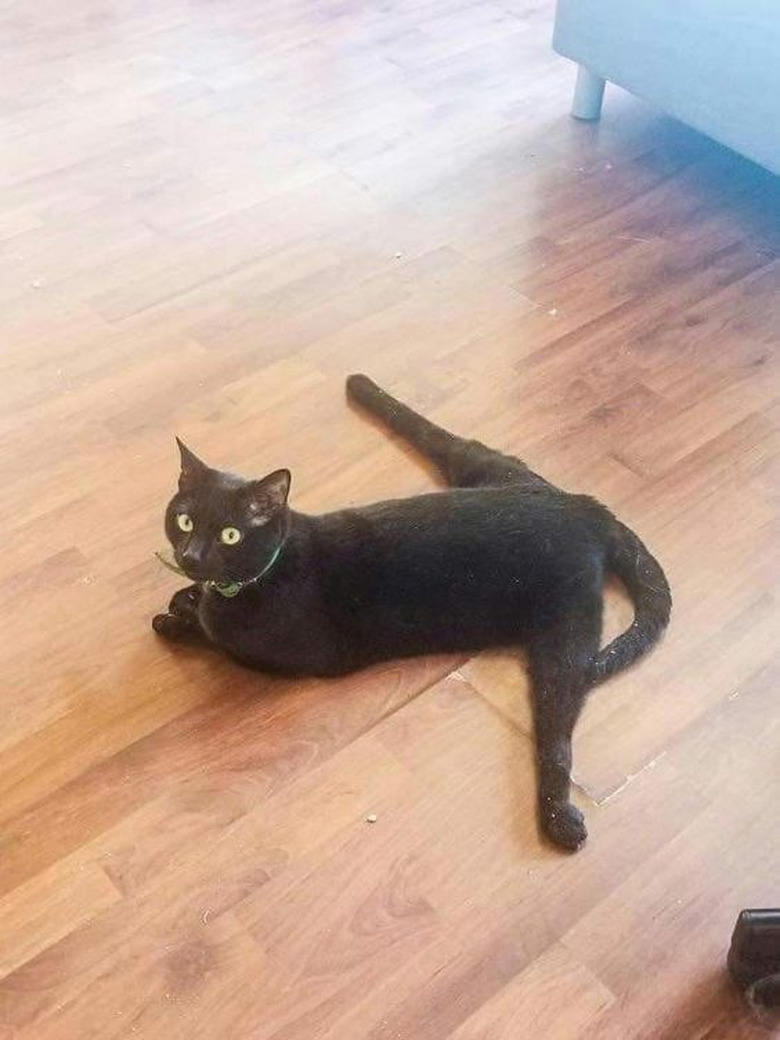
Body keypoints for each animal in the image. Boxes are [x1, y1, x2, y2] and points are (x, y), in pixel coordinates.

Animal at [152, 378, 673, 848]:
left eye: (230, 535)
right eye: (184, 520)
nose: (191, 556)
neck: (269, 567)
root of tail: (589, 510)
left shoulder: (281, 653)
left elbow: (211, 633)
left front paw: (178, 617)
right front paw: (186, 598)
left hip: (563, 640)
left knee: (558, 735)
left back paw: (560, 818)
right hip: (481, 462)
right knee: (439, 434)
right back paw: (362, 384)